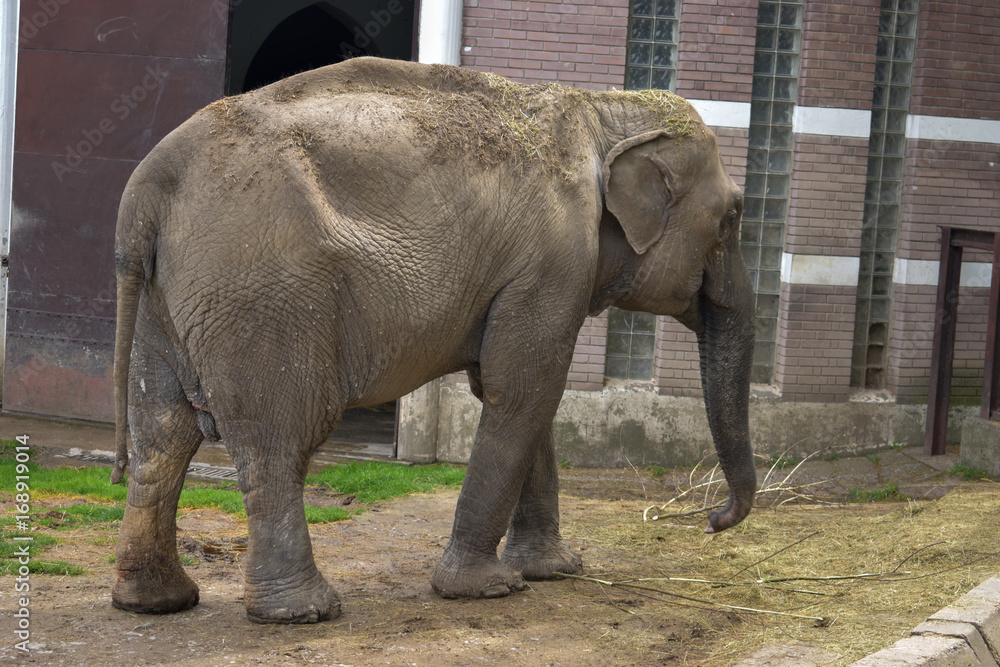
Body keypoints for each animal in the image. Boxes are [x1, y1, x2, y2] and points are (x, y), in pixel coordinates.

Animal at [109, 57, 756, 624]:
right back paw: (302, 613)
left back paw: (155, 602)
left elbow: (524, 395)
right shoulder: (553, 260)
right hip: (263, 295)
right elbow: (523, 392)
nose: (712, 522)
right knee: (280, 438)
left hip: (167, 301)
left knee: (161, 434)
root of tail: (145, 192)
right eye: (732, 218)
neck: (603, 112)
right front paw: (486, 588)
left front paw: (554, 570)